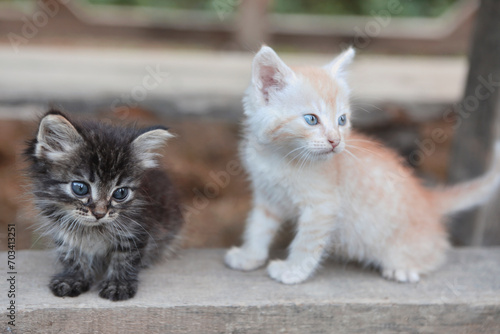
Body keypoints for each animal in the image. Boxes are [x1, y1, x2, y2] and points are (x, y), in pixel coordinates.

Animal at [24, 111, 183, 302]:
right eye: (80, 188)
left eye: (120, 193)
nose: (100, 213)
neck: (93, 229)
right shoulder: (63, 229)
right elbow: (71, 253)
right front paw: (74, 278)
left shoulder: (136, 227)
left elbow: (124, 257)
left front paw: (118, 284)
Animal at [226, 45, 500, 284]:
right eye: (311, 119)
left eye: (342, 120)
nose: (335, 141)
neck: (277, 157)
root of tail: (427, 198)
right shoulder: (267, 197)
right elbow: (258, 226)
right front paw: (249, 256)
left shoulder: (322, 207)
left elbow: (306, 242)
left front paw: (293, 271)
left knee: (438, 251)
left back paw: (405, 268)